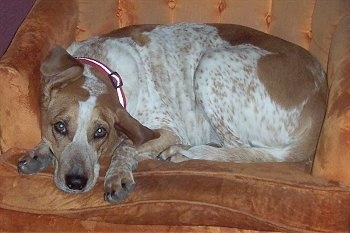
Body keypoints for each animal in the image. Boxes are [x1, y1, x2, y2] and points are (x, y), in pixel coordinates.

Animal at [17, 22, 326, 203]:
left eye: (100, 133)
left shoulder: (166, 129)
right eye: (59, 126)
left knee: (237, 148)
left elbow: (125, 147)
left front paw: (118, 174)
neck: (104, 70)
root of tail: (319, 104)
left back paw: (185, 152)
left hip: (211, 63)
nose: (76, 183)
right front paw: (39, 152)